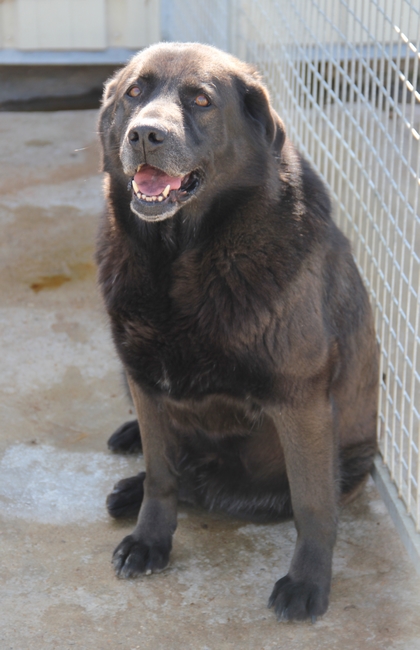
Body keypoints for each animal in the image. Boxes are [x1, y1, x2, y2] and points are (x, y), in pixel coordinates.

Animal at [97, 43, 378, 620]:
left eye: (202, 101)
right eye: (135, 92)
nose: (144, 134)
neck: (180, 259)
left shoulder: (301, 401)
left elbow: (313, 505)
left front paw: (308, 582)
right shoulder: (145, 379)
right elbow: (161, 473)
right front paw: (150, 540)